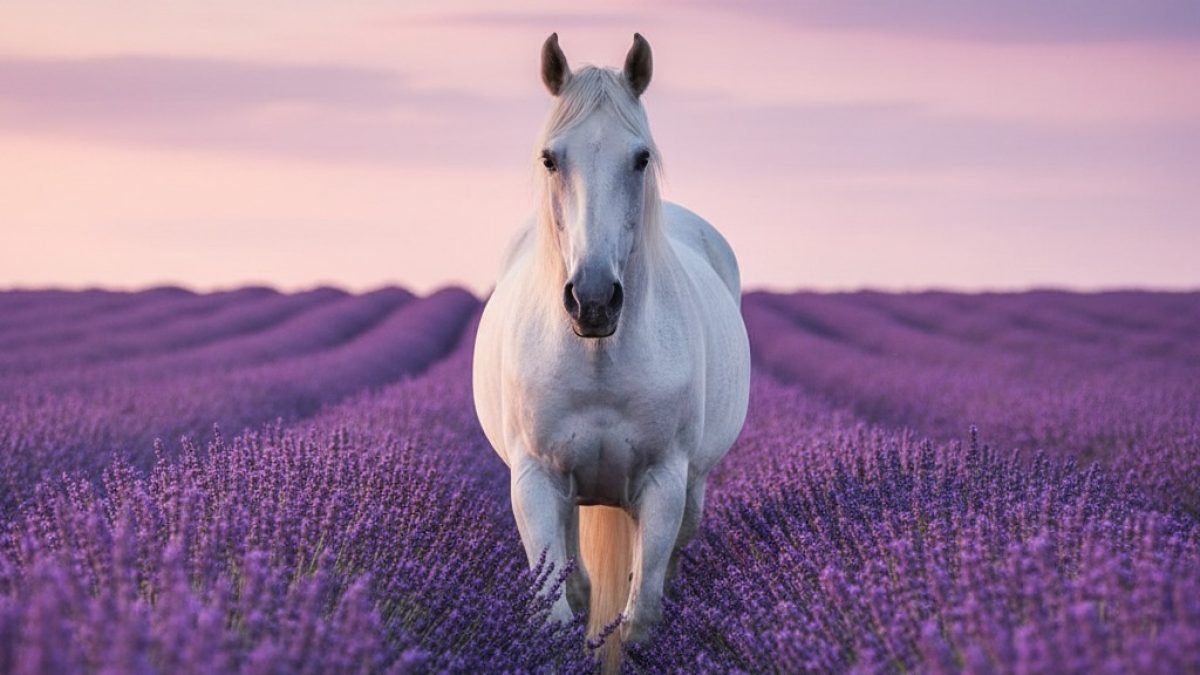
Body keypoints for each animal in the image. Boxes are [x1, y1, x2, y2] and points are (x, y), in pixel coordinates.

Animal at [472, 32, 751, 666]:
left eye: (641, 157)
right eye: (550, 158)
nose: (593, 300)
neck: (598, 356)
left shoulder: (665, 484)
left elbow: (640, 615)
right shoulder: (535, 481)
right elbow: (554, 610)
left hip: (692, 490)